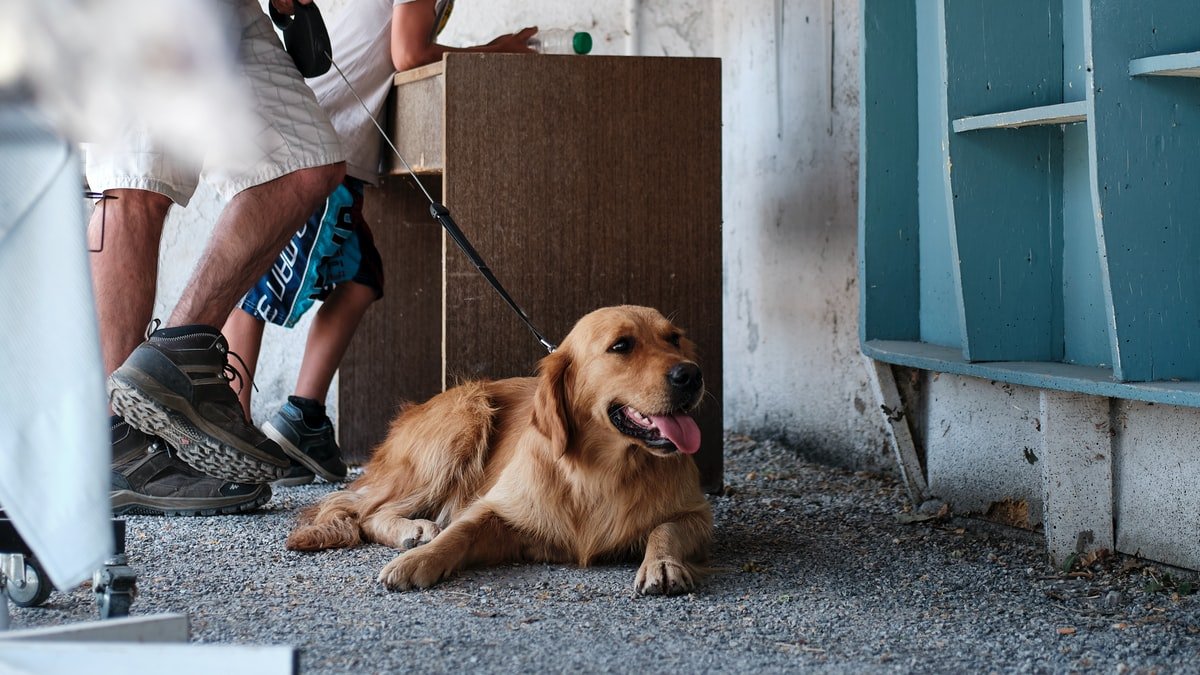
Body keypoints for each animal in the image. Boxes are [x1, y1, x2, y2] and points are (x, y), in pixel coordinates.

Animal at [284, 305, 705, 593]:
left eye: (674, 338)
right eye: (621, 346)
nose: (692, 374)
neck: (601, 471)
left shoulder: (697, 513)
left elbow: (666, 527)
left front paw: (661, 563)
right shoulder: (498, 506)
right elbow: (460, 531)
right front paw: (418, 561)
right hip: (465, 416)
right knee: (365, 510)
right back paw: (414, 529)